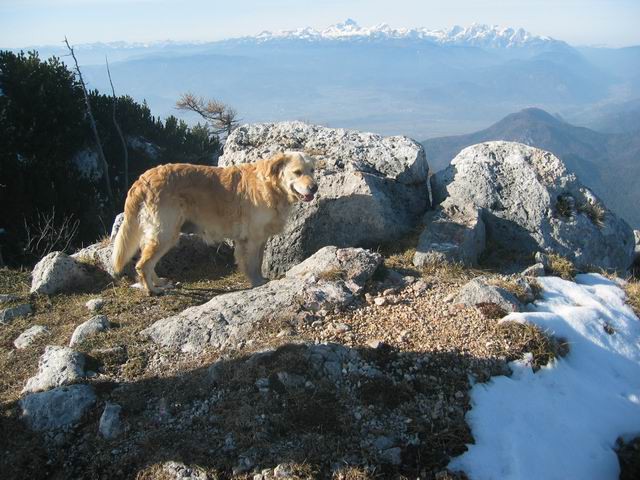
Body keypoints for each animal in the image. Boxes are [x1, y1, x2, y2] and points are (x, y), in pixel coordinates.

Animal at [113, 152, 320, 294]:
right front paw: (257, 283)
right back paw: (152, 290)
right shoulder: (251, 240)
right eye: (297, 172)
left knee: (147, 260)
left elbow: (259, 262)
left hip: (161, 234)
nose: (315, 187)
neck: (271, 187)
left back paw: (158, 282)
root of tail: (143, 179)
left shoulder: (261, 238)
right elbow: (252, 264)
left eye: (312, 170)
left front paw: (261, 279)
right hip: (166, 233)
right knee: (142, 264)